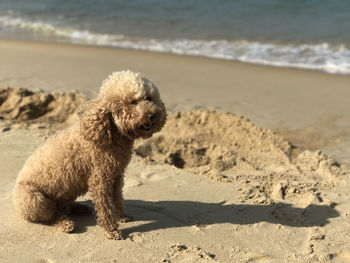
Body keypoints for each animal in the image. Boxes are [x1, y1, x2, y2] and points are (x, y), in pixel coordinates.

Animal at [13, 71, 166, 240]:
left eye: (149, 98)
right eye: (132, 102)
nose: (152, 115)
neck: (111, 131)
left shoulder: (116, 175)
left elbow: (117, 198)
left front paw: (122, 216)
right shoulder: (100, 178)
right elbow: (105, 208)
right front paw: (111, 230)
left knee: (63, 207)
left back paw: (80, 208)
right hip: (34, 199)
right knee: (51, 215)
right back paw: (65, 223)